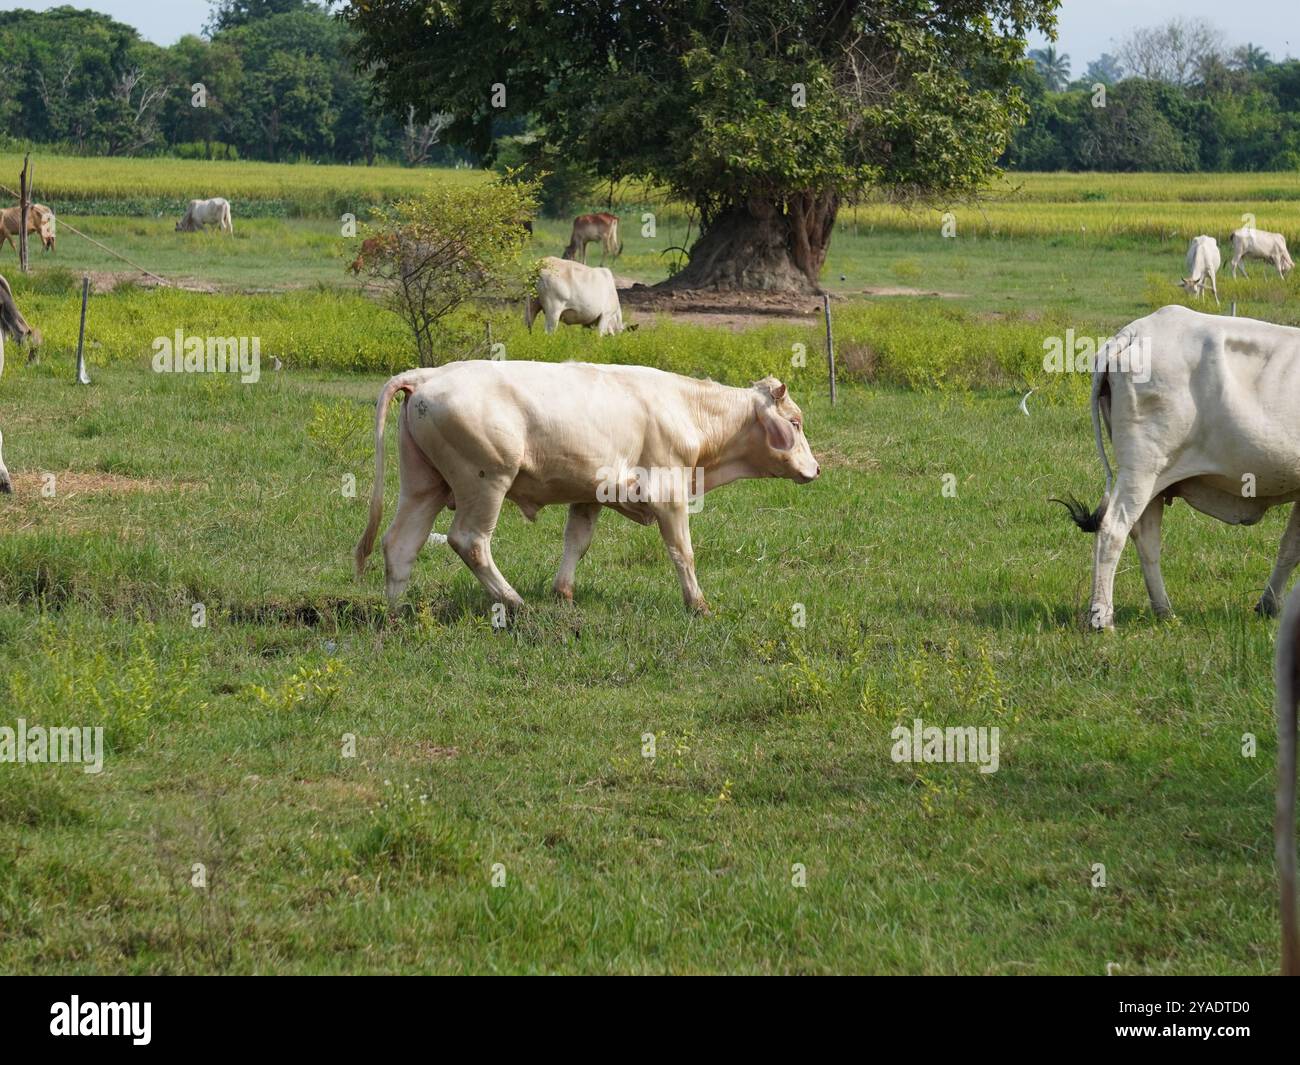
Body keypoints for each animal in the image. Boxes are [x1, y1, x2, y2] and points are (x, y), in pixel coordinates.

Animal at [353, 361, 821, 616]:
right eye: (795, 423)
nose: (815, 469)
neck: (686, 409)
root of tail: (429, 374)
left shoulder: (588, 494)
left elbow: (576, 543)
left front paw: (563, 594)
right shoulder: (668, 493)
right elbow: (682, 552)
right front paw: (698, 604)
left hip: (423, 486)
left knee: (400, 544)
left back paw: (397, 614)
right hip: (485, 483)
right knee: (470, 541)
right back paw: (516, 603)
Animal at [1050, 304, 1300, 629]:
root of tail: (1133, 331)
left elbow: (1289, 547)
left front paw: (1268, 605)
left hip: (1154, 480)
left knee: (1145, 539)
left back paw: (1164, 611)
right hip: (1141, 471)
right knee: (1112, 530)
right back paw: (1101, 617)